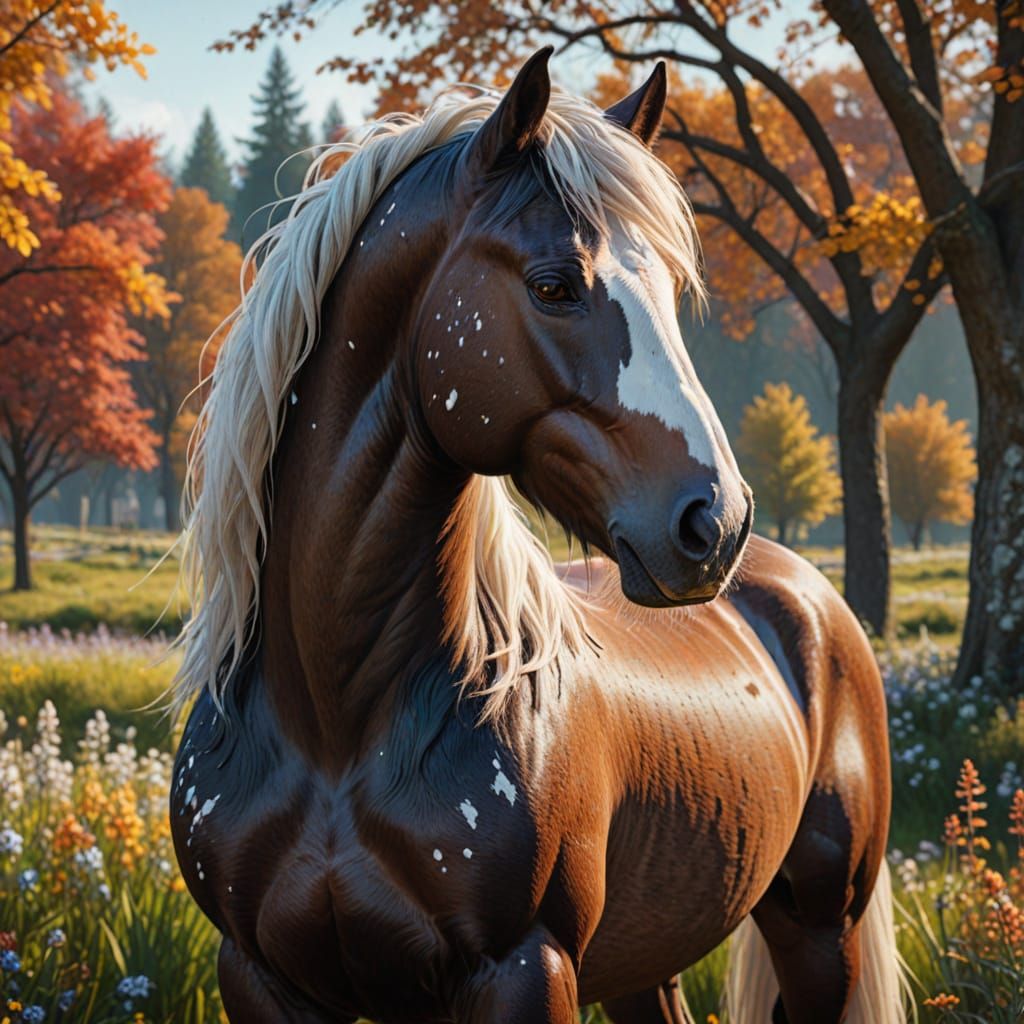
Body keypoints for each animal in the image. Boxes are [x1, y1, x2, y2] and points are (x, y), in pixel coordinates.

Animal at [169, 48, 901, 1024]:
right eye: (555, 285)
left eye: (672, 294)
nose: (717, 521)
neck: (334, 727)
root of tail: (809, 596)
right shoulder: (257, 973)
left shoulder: (525, 966)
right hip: (649, 962)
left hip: (821, 930)